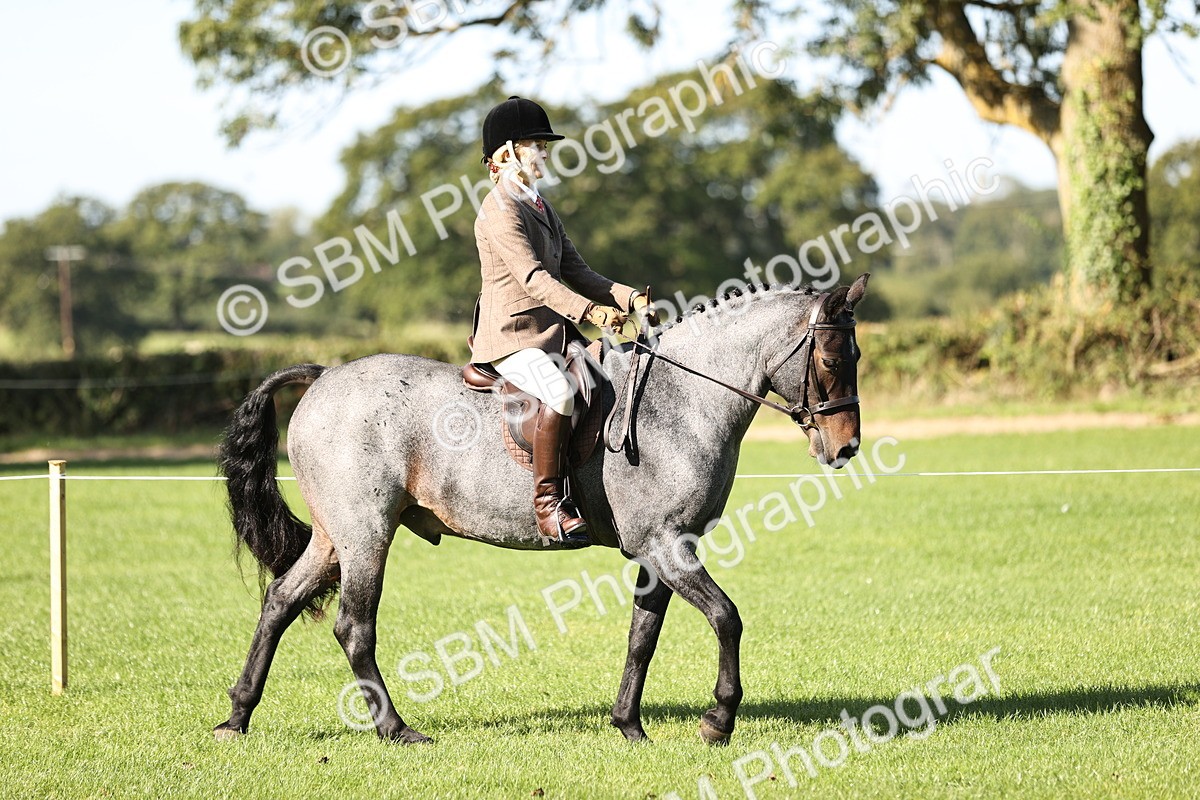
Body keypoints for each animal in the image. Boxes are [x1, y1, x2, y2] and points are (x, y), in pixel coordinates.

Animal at [212, 274, 869, 745]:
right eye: (833, 360)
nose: (845, 448)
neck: (682, 401)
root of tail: (323, 376)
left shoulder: (662, 550)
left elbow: (643, 636)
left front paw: (629, 725)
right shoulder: (665, 544)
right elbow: (727, 618)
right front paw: (718, 721)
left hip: (334, 538)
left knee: (280, 601)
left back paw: (237, 717)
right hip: (366, 534)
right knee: (354, 626)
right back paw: (396, 730)